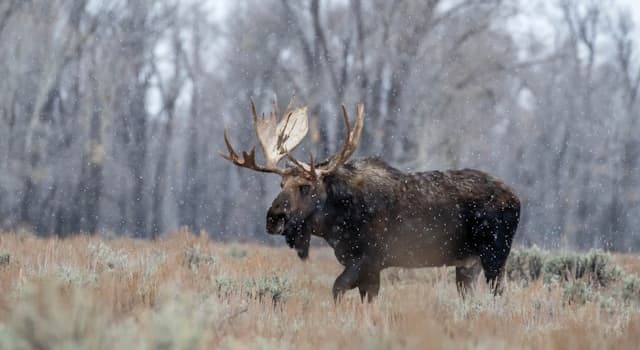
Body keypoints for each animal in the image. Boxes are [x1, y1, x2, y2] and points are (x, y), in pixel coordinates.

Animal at [220, 98, 520, 300]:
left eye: (305, 186)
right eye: (281, 183)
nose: (273, 218)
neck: (334, 225)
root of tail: (517, 198)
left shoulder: (369, 259)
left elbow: (337, 289)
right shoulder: (364, 266)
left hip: (495, 255)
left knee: (500, 294)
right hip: (468, 264)